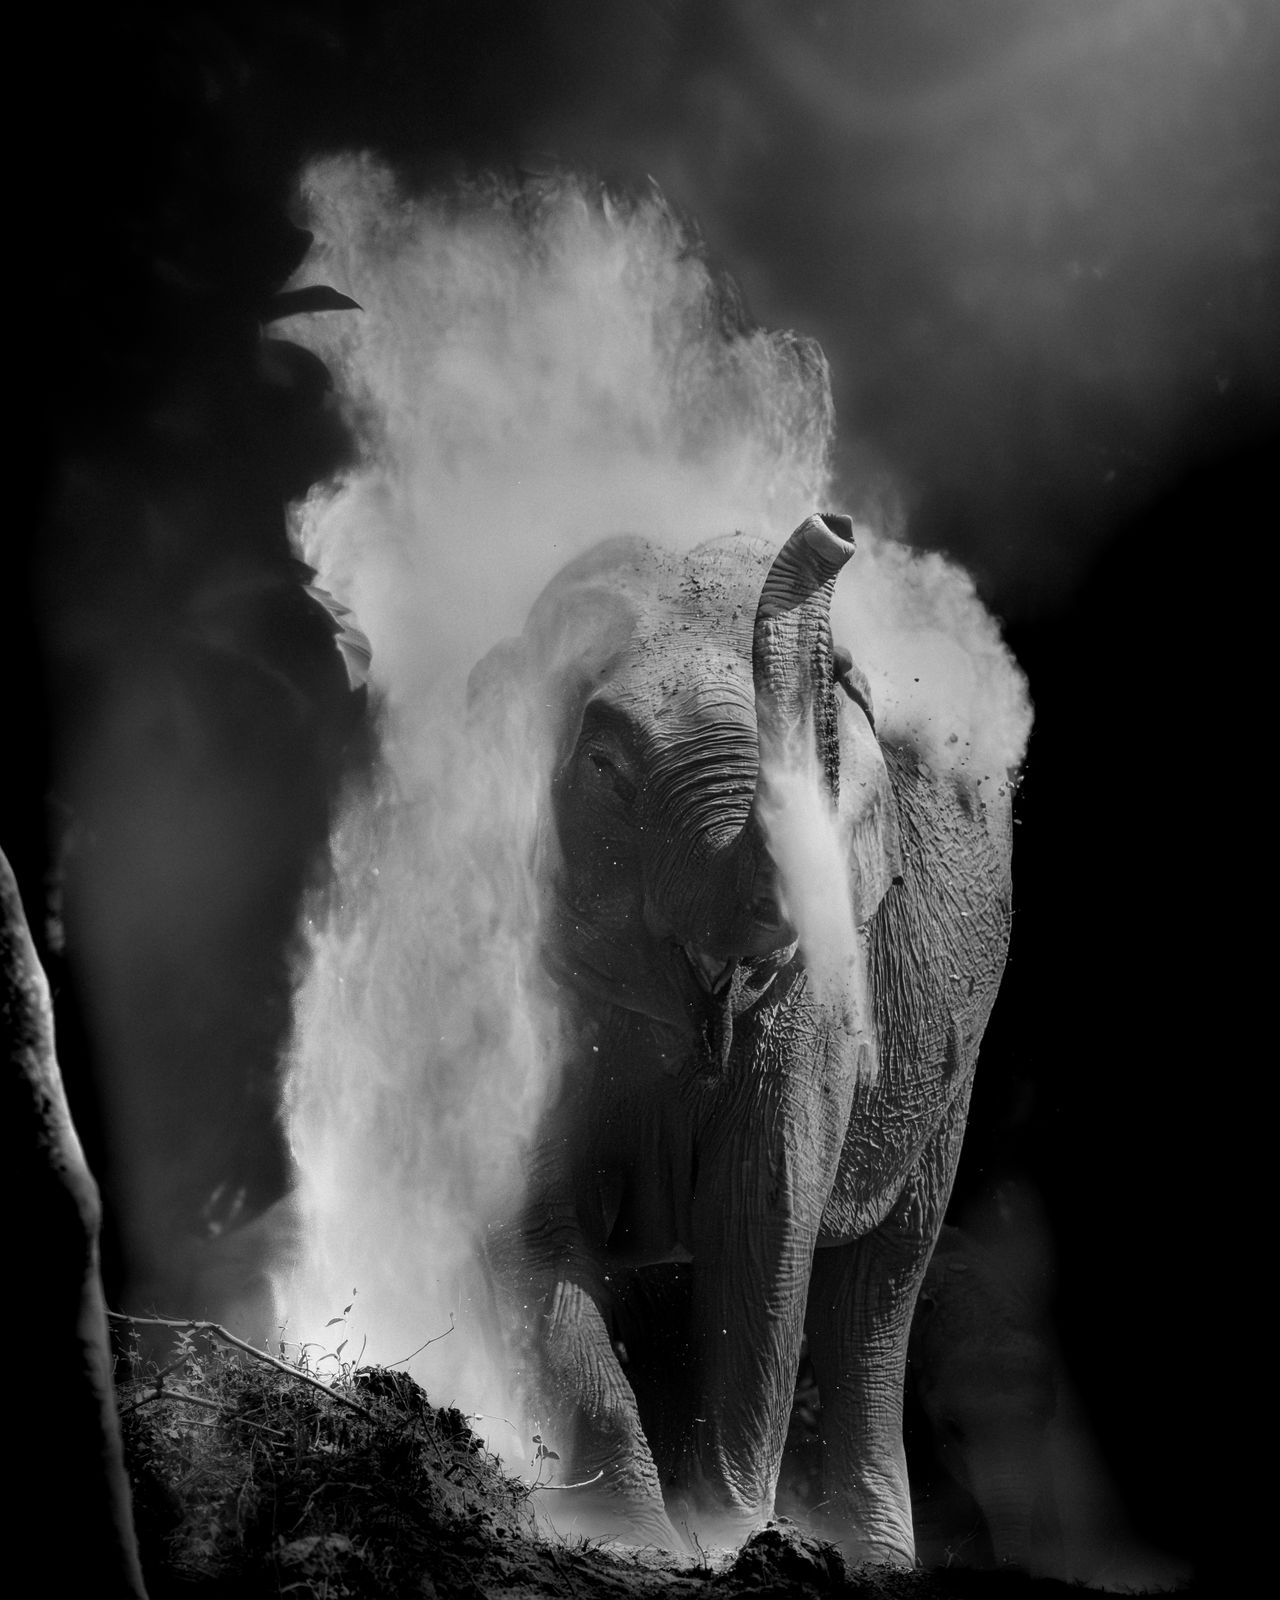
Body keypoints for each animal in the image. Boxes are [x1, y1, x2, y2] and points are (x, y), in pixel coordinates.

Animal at [476, 512, 1017, 1564]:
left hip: (957, 1055)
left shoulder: (822, 975)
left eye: (831, 737)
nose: (832, 528)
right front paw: (642, 1544)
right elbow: (534, 1229)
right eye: (603, 767)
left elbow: (758, 1214)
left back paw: (872, 1557)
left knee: (875, 1292)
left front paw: (723, 1542)